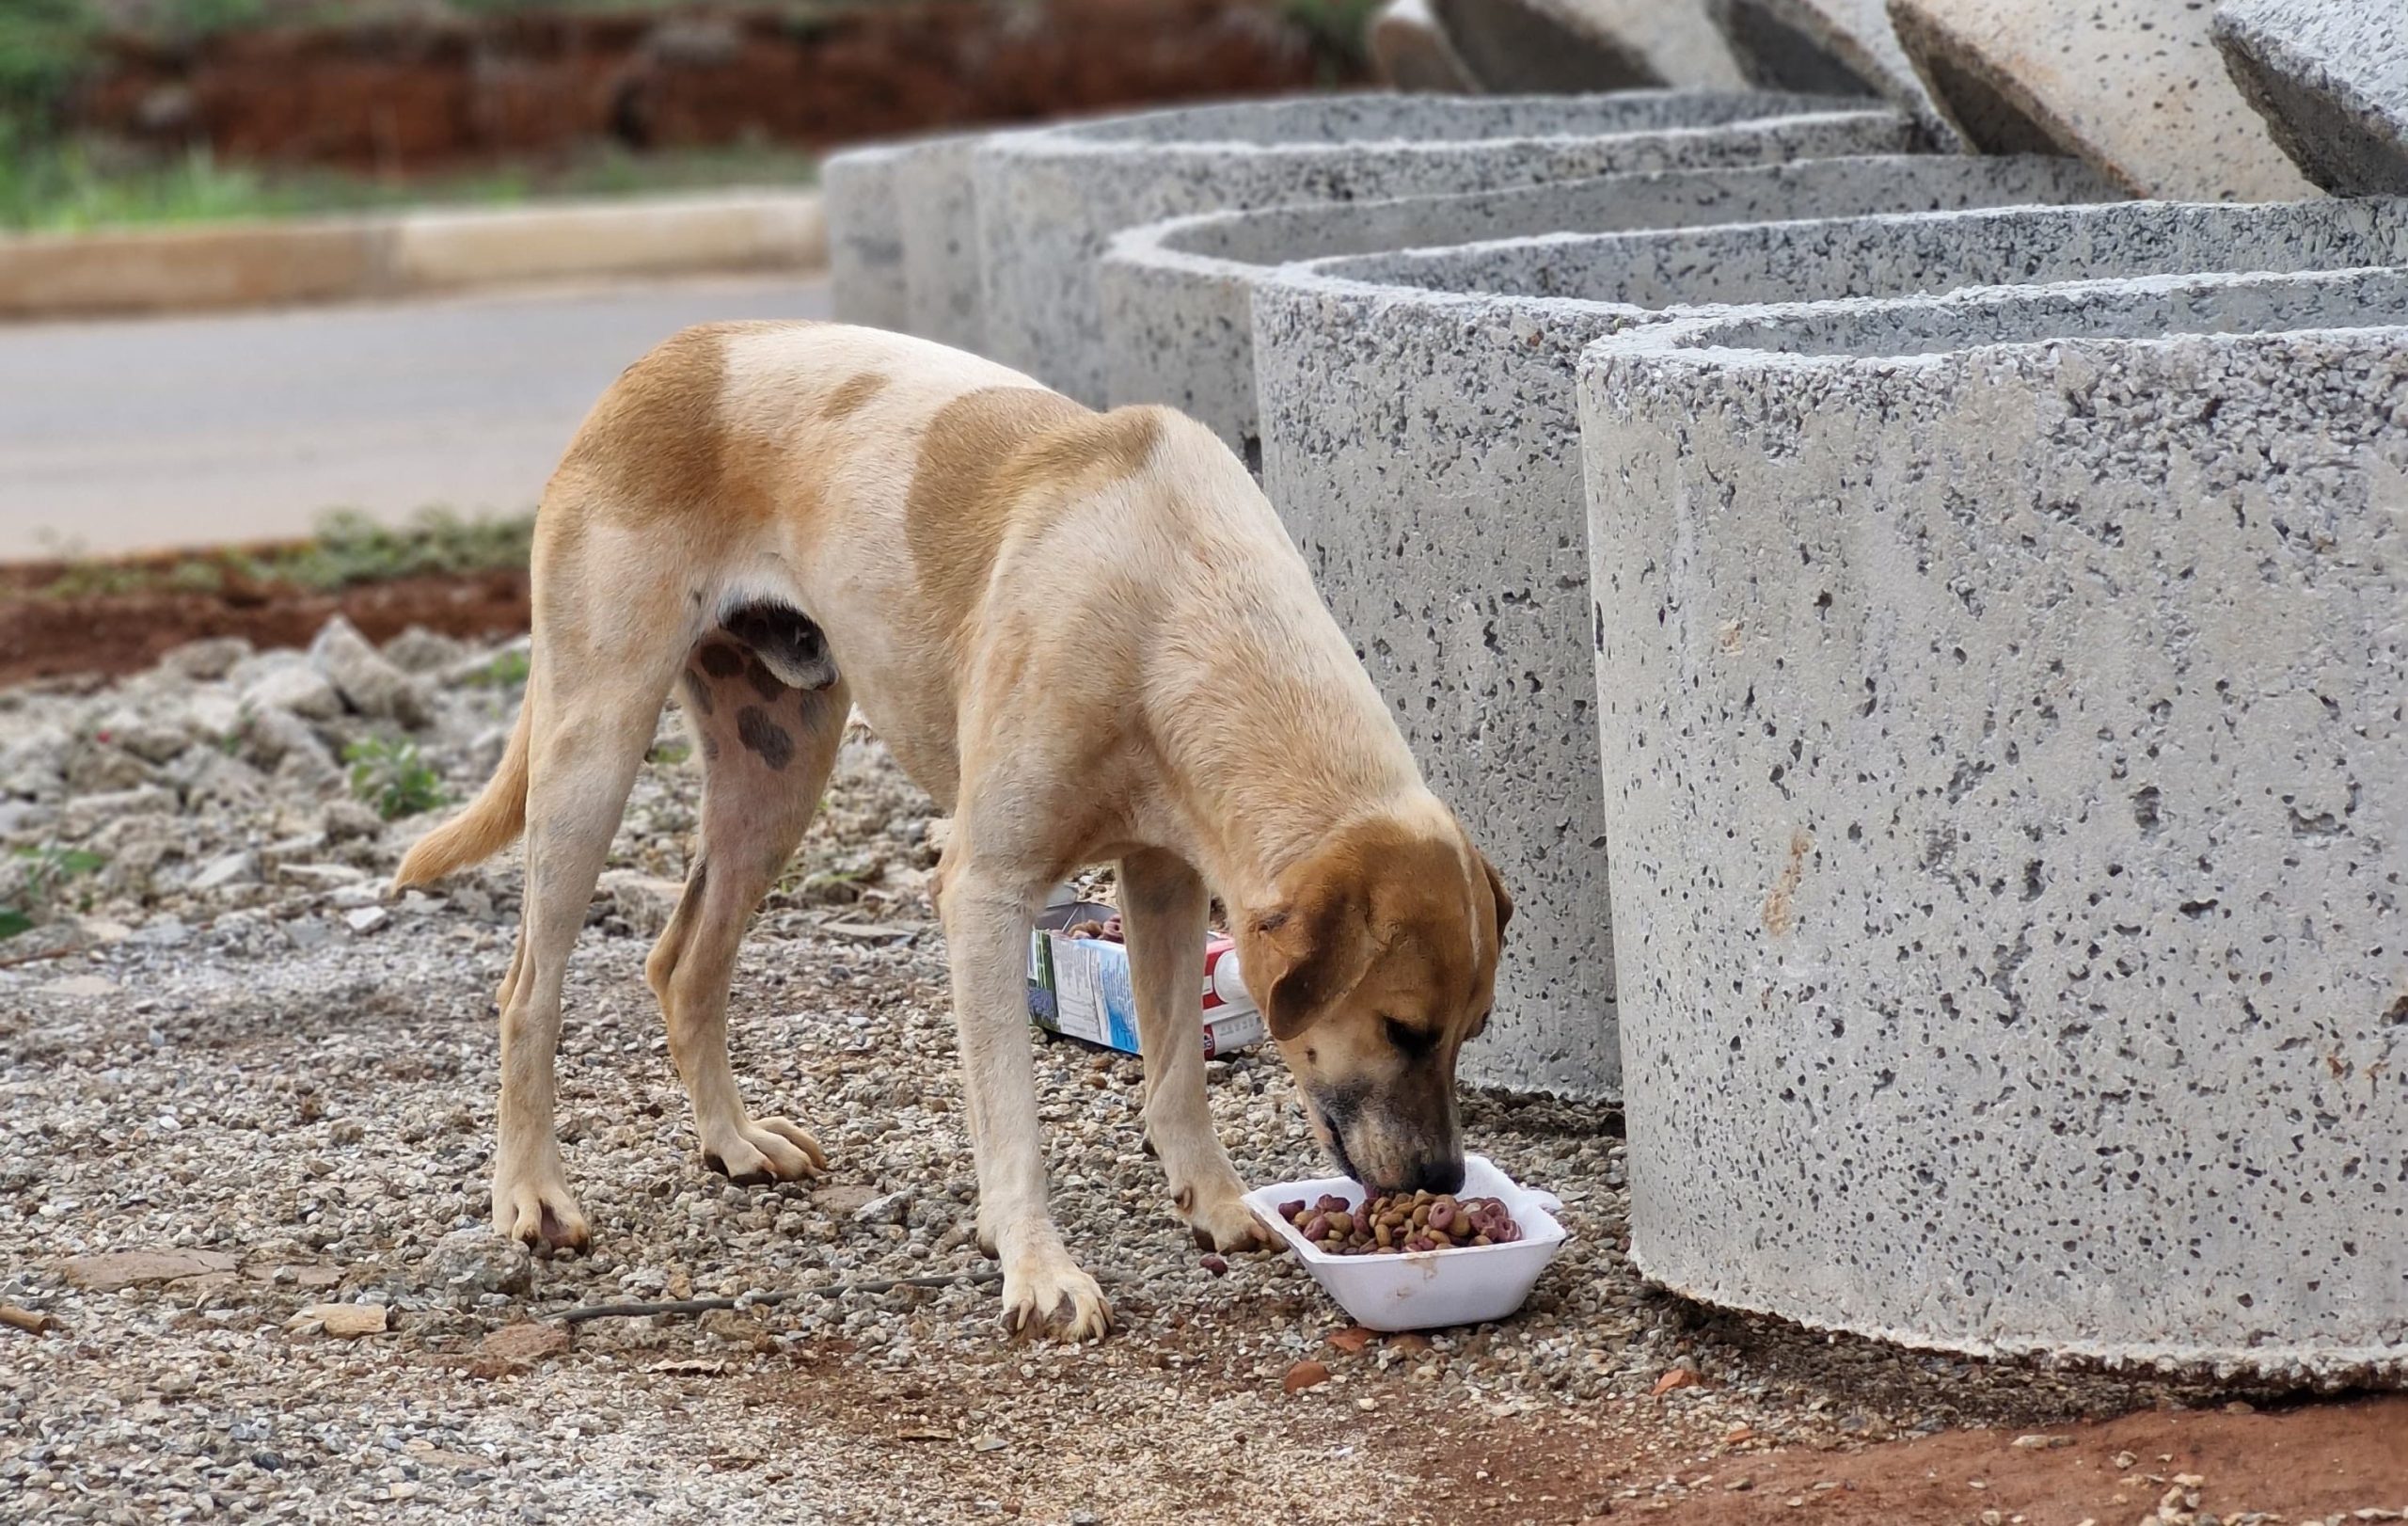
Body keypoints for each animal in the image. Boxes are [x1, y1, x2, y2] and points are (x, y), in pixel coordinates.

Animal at [404, 320, 1512, 1328]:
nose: (1446, 1181)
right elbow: (1011, 1110)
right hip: (592, 754)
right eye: (1403, 1028)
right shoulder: (985, 891)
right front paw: (1038, 1267)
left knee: (684, 964)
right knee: (527, 992)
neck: (1176, 601)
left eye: (1470, 1031)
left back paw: (732, 1142)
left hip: (777, 775)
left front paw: (1217, 1201)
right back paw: (532, 1192)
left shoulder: (1164, 882)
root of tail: (669, 350)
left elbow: (1175, 1075)